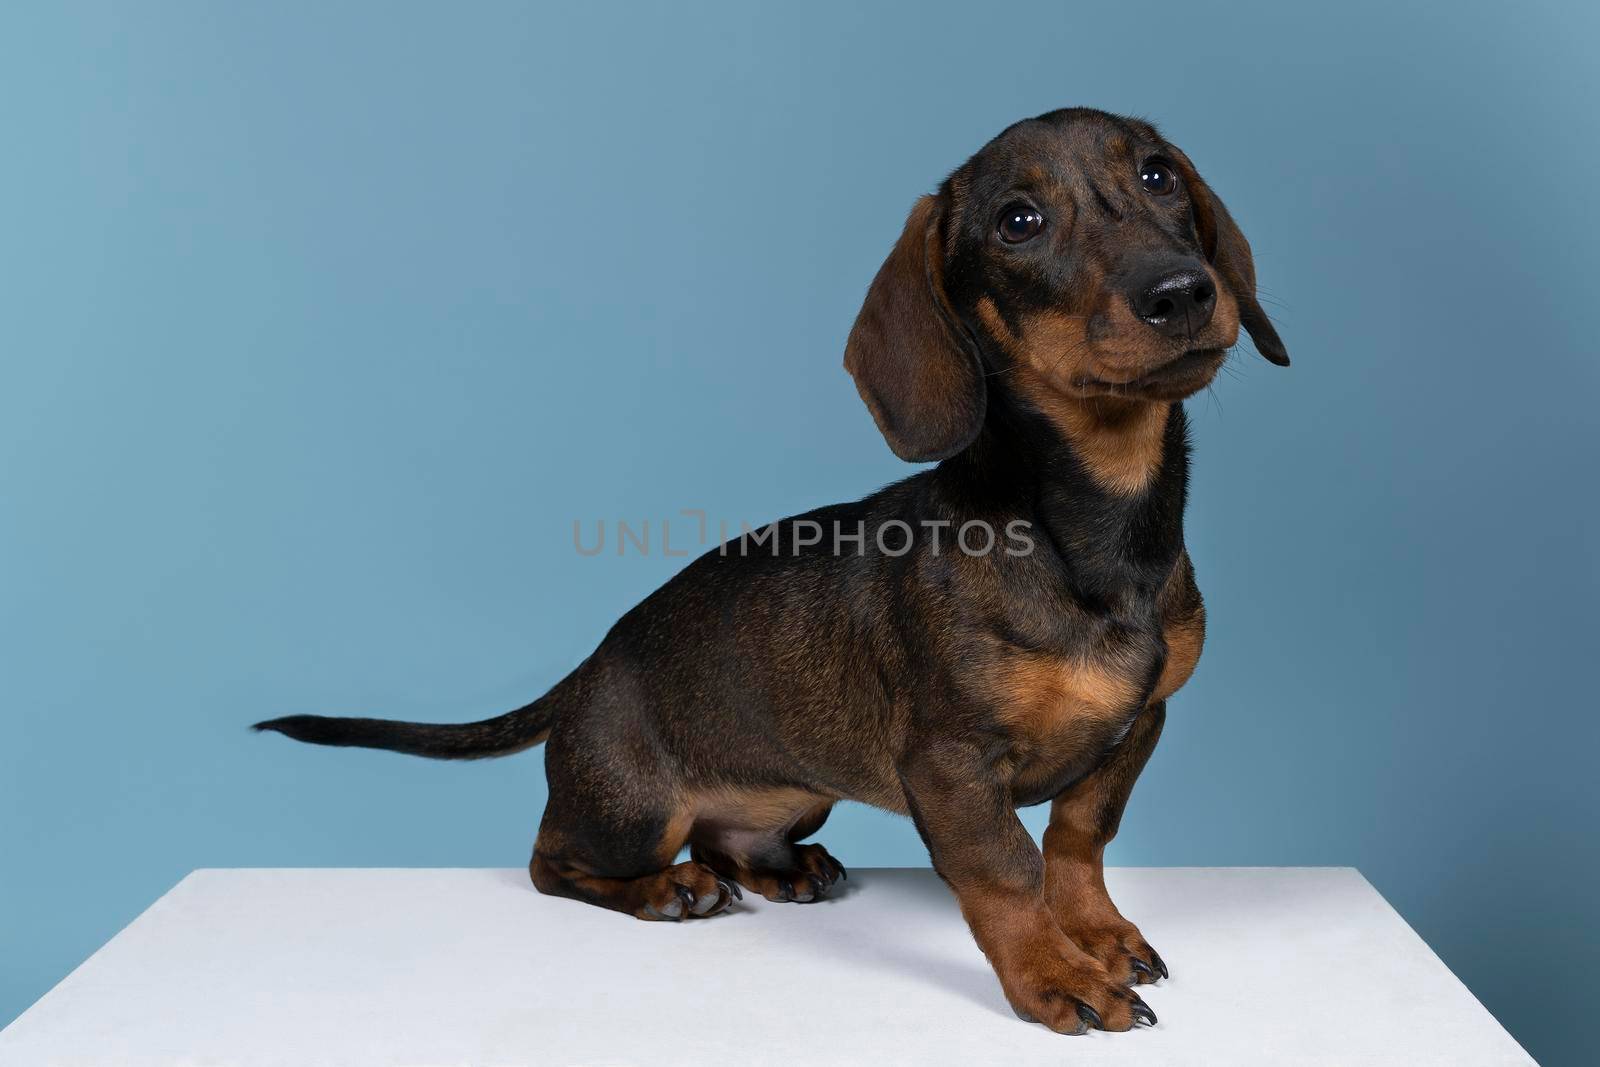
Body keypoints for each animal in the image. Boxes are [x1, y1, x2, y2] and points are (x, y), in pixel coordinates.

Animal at [259, 106, 1286, 1036]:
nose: (1182, 292)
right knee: (555, 860)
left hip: (801, 789)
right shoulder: (951, 764)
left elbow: (1078, 836)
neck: (1095, 530)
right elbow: (1006, 872)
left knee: (728, 838)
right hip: (631, 811)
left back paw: (783, 868)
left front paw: (1097, 933)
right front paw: (1051, 972)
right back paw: (668, 889)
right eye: (1019, 221)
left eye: (1158, 175)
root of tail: (587, 669)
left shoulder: (1140, 722)